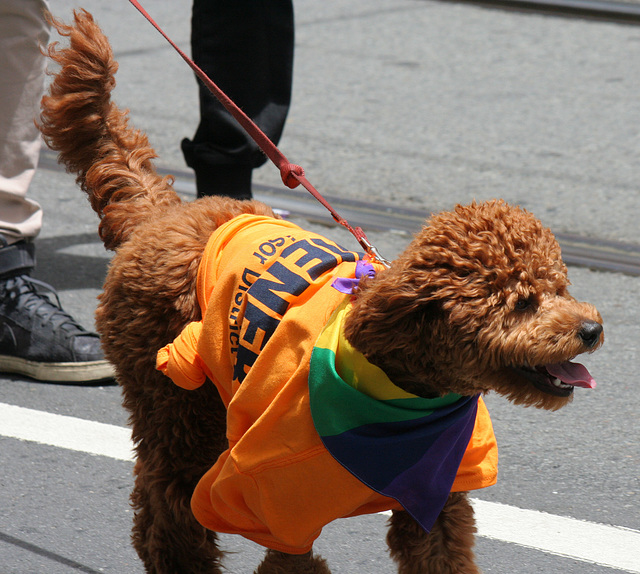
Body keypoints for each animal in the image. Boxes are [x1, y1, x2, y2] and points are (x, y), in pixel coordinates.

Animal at [41, 10, 604, 574]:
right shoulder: (271, 502)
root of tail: (160, 214)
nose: (592, 329)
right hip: (176, 408)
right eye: (522, 302)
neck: (403, 391)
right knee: (167, 507)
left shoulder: (436, 497)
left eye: (560, 286)